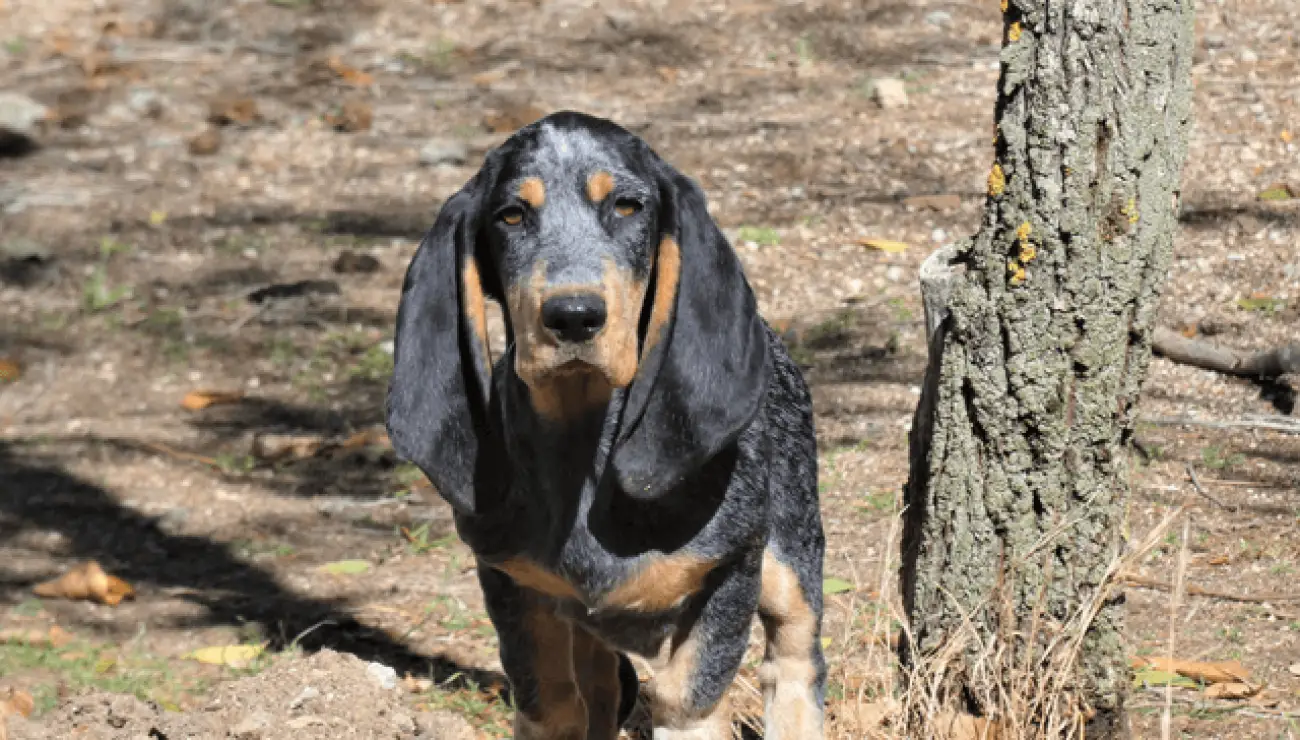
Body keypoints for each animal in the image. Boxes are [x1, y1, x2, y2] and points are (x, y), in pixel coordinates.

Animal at [382, 111, 821, 738]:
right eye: (510, 215)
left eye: (628, 206)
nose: (573, 316)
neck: (582, 446)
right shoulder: (514, 585)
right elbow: (550, 700)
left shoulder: (729, 573)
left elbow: (688, 699)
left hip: (789, 557)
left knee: (794, 661)